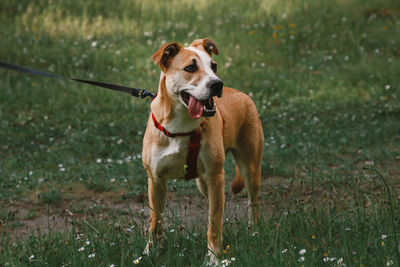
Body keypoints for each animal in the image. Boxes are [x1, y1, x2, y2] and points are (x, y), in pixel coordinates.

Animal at [142, 38, 264, 264]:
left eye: (213, 66)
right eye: (190, 68)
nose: (217, 84)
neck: (181, 125)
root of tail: (241, 93)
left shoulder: (216, 177)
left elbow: (214, 223)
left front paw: (214, 257)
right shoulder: (155, 179)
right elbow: (155, 221)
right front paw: (149, 252)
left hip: (249, 168)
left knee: (253, 203)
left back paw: (255, 230)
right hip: (203, 184)